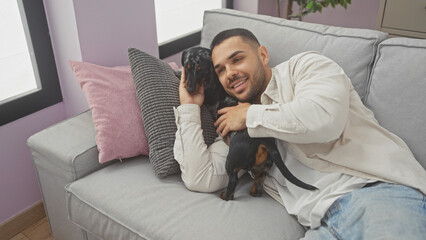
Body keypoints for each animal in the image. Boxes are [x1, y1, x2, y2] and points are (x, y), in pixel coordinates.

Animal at [180, 47, 316, 201]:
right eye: (187, 67)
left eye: (199, 68)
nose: (189, 89)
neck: (211, 76)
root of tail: (264, 141)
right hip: (263, 168)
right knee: (257, 185)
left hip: (231, 161)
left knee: (233, 182)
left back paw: (225, 195)